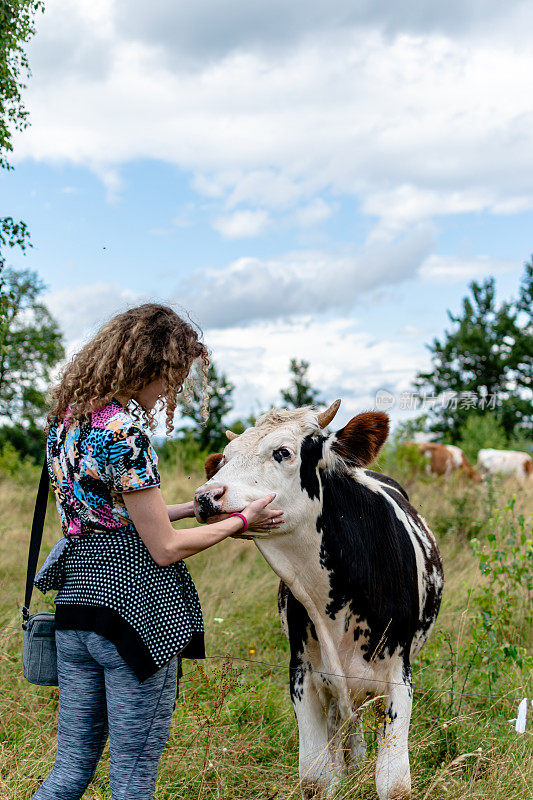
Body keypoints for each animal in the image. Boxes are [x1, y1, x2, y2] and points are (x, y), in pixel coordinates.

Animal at [193, 404, 442, 796]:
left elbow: (394, 783)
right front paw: (338, 775)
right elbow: (315, 777)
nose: (205, 497)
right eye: (225, 458)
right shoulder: (303, 674)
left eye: (283, 452)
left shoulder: (398, 677)